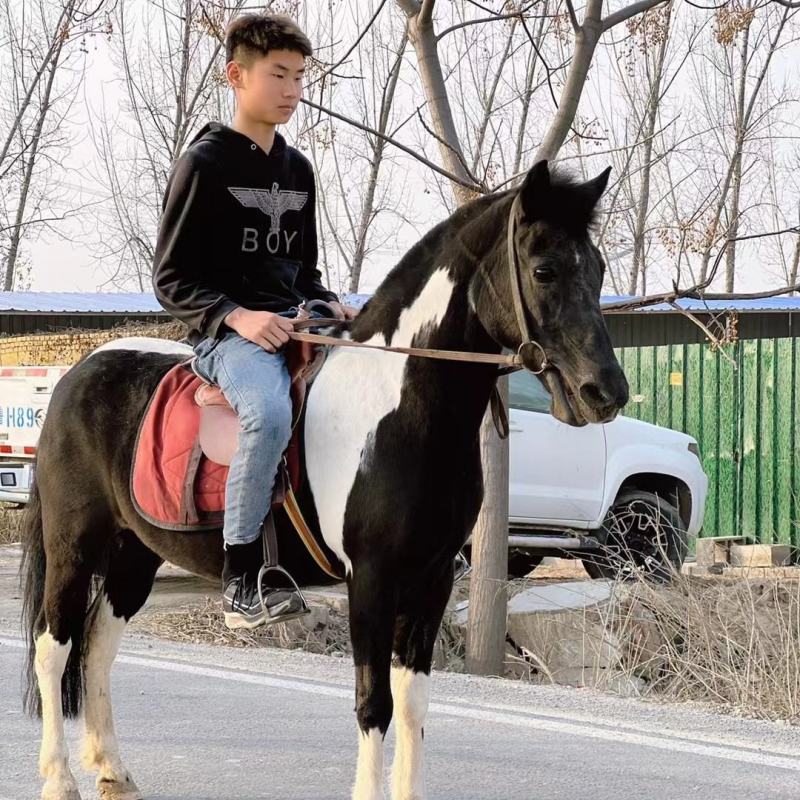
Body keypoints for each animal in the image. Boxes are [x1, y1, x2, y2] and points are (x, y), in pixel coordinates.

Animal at [19, 159, 629, 800]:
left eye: (598, 268)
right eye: (544, 269)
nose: (606, 392)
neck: (400, 406)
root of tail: (76, 374)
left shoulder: (432, 579)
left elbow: (413, 704)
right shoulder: (372, 578)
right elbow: (374, 703)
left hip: (134, 551)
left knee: (98, 644)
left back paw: (112, 769)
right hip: (74, 544)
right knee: (53, 645)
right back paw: (59, 777)